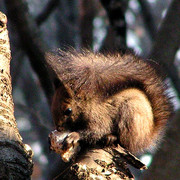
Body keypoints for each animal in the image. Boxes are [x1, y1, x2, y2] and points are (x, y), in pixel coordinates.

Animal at [45, 48, 174, 155]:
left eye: (68, 110)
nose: (59, 128)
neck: (89, 106)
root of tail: (147, 136)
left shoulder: (100, 119)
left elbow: (96, 132)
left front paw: (74, 136)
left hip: (131, 117)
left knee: (125, 142)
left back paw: (111, 137)